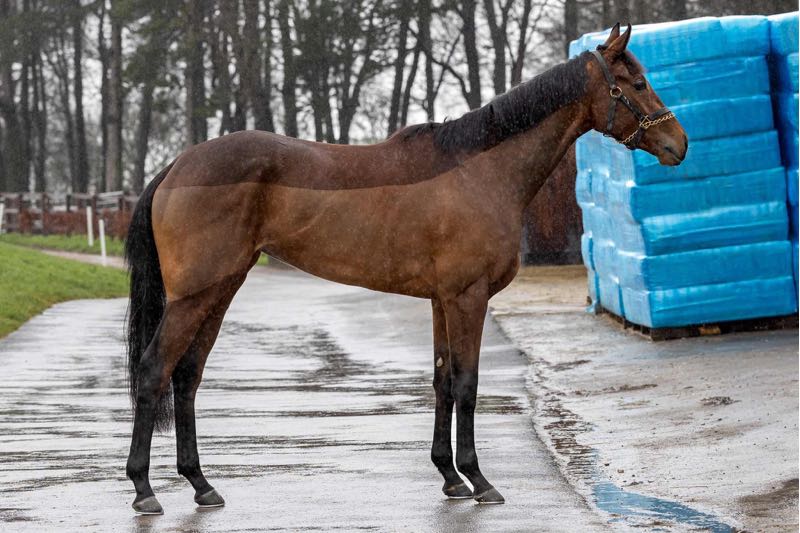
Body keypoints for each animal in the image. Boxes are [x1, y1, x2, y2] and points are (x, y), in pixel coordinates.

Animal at [124, 24, 687, 514]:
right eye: (637, 83)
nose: (678, 145)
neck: (480, 169)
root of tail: (176, 166)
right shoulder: (467, 297)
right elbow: (467, 384)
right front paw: (479, 480)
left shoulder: (442, 300)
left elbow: (441, 381)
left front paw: (450, 477)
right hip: (195, 296)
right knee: (154, 370)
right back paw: (144, 490)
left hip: (220, 290)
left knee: (187, 375)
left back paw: (201, 485)